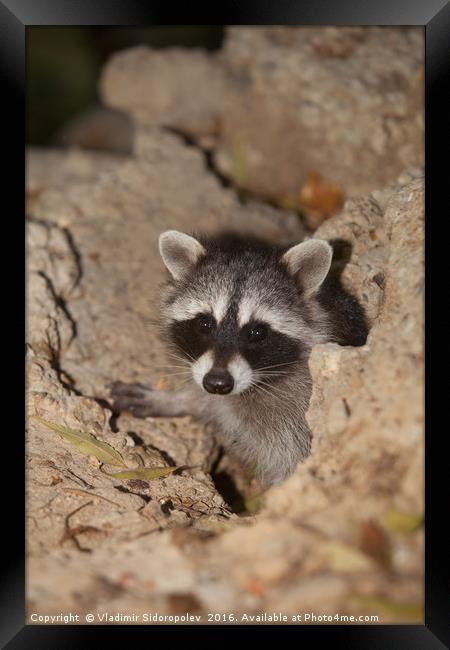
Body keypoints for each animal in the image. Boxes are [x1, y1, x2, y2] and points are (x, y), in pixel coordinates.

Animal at [110, 230, 368, 484]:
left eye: (257, 332)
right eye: (204, 323)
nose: (217, 383)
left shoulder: (298, 415)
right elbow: (206, 400)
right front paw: (175, 399)